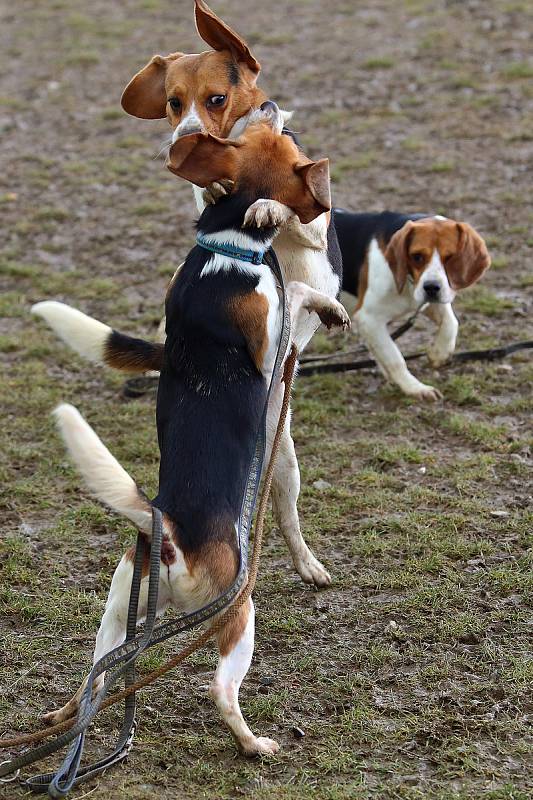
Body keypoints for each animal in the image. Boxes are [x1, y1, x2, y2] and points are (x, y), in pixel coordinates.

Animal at [41, 106, 350, 756]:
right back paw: (254, 744)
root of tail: (170, 533)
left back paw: (68, 718)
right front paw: (329, 306)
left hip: (119, 609)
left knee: (94, 676)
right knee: (220, 690)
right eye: (283, 140)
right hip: (238, 614)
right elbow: (298, 292)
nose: (267, 107)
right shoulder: (271, 344)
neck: (226, 251)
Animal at [334, 211, 488, 400]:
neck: (408, 283)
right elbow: (395, 357)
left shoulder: (426, 302)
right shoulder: (368, 319)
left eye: (451, 257)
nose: (431, 287)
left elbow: (451, 323)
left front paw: (439, 353)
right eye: (417, 257)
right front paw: (414, 388)